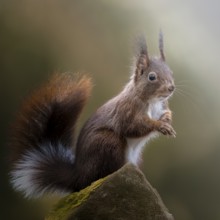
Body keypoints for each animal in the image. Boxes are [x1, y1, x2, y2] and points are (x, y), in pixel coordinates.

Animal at [9, 32, 175, 198]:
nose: (171, 87)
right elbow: (133, 126)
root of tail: (79, 177)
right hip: (108, 143)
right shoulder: (127, 110)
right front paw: (159, 125)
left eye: (171, 73)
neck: (153, 101)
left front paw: (167, 116)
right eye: (152, 77)